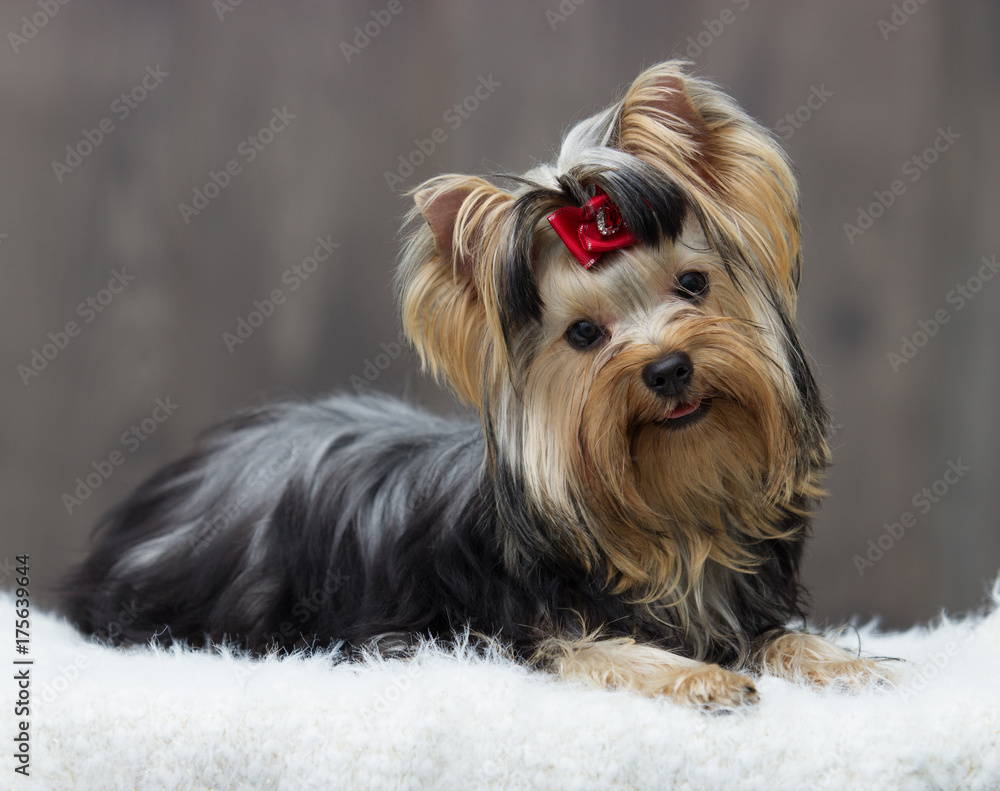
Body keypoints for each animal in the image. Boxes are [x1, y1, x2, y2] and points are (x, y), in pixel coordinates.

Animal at [64, 61, 889, 708]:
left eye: (692, 284)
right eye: (583, 334)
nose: (668, 367)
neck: (668, 519)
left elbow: (781, 636)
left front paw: (846, 664)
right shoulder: (507, 630)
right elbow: (590, 647)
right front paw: (696, 676)